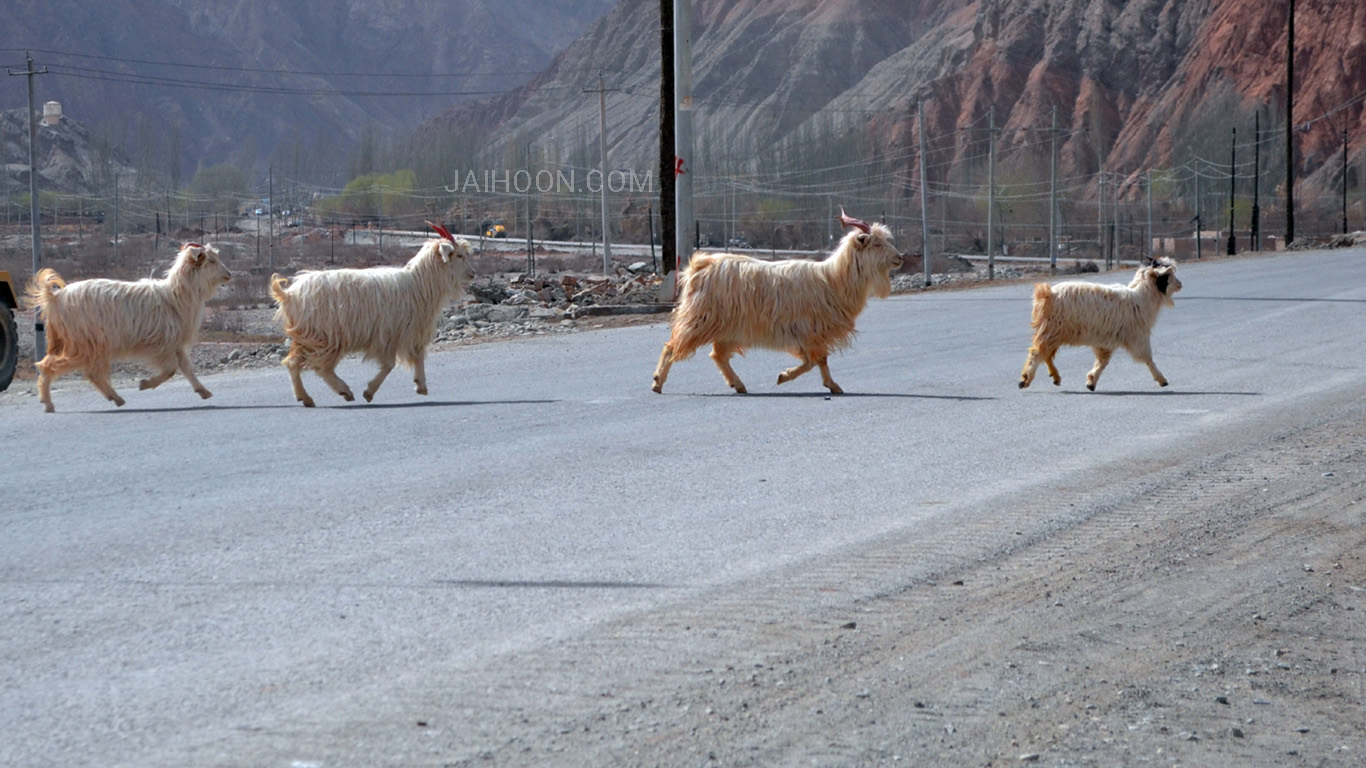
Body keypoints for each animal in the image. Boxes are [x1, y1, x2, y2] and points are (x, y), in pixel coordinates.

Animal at [22, 243, 230, 412]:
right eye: (211, 261)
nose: (229, 274)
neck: (175, 296)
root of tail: (54, 298)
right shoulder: (159, 344)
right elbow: (171, 369)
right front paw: (145, 384)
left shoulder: (174, 343)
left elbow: (186, 367)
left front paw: (203, 391)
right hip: (85, 342)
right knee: (53, 366)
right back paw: (49, 404)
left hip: (80, 343)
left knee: (85, 372)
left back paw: (113, 397)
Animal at [270, 221, 475, 407]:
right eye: (459, 255)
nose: (472, 273)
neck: (419, 283)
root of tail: (289, 294)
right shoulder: (390, 333)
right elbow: (390, 364)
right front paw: (369, 391)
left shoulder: (408, 330)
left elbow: (417, 355)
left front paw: (421, 385)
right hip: (324, 335)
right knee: (318, 367)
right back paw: (341, 391)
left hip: (310, 336)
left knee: (293, 363)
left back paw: (307, 397)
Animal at [1021, 255, 1180, 388]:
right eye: (1168, 276)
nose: (1180, 284)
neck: (1140, 297)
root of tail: (1047, 294)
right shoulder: (1137, 336)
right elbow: (1147, 358)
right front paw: (1162, 379)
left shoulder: (1105, 341)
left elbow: (1103, 361)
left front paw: (1091, 381)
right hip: (1052, 329)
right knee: (1037, 352)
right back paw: (1025, 379)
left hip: (1053, 331)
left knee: (1045, 353)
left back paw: (1055, 377)